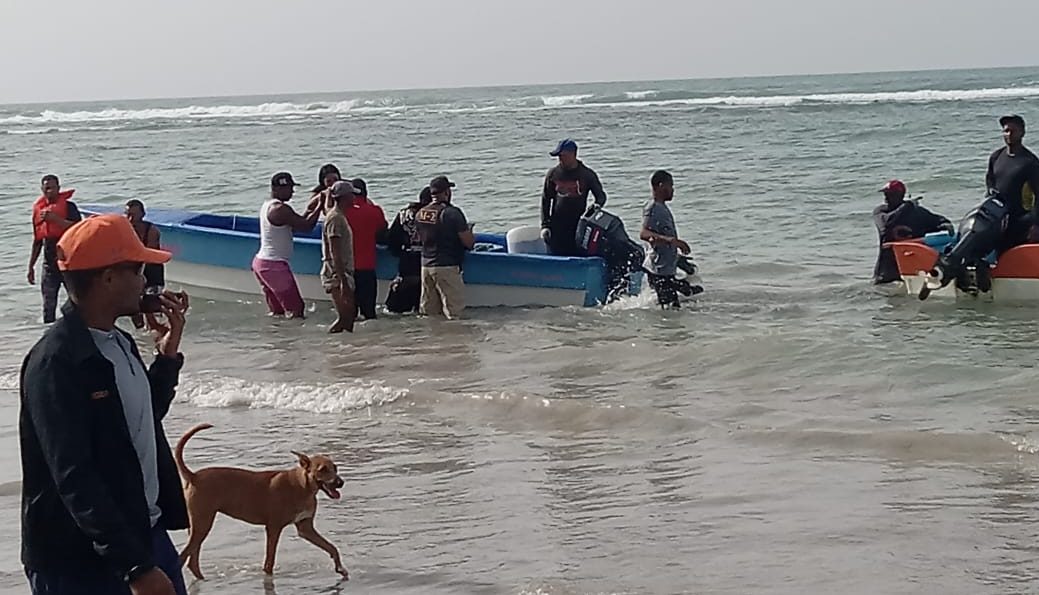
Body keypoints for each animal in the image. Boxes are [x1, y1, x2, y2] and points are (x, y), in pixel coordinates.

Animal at [172, 421, 347, 581]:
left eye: (335, 468)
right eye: (322, 470)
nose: (341, 483)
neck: (302, 486)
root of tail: (194, 476)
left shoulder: (305, 528)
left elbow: (332, 547)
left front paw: (340, 568)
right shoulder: (273, 528)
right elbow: (269, 562)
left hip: (197, 526)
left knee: (192, 560)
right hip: (203, 524)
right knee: (183, 557)